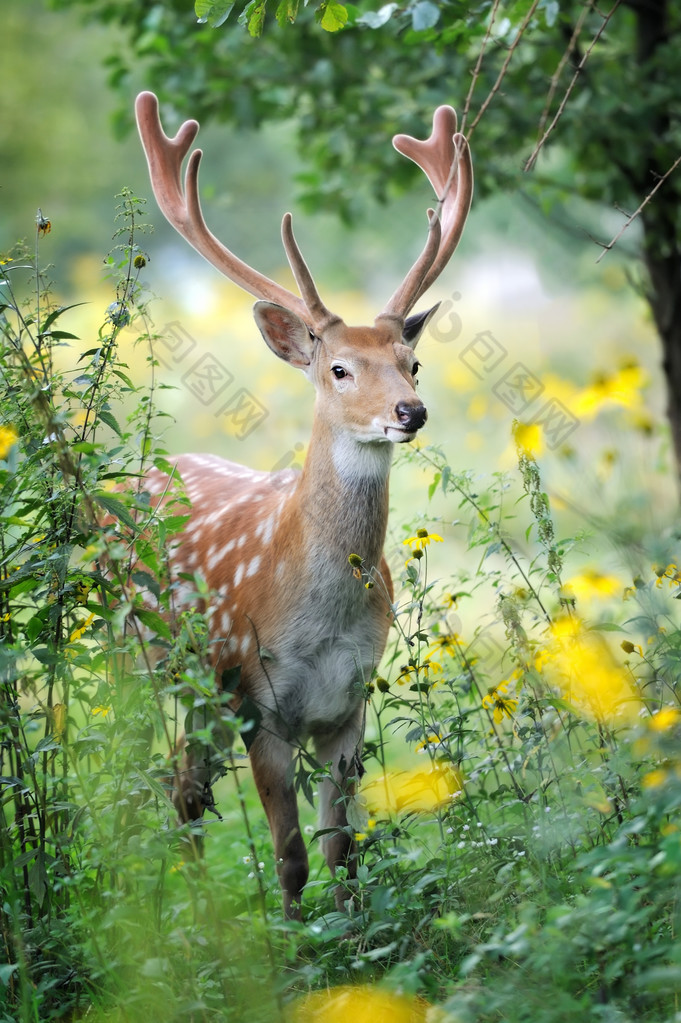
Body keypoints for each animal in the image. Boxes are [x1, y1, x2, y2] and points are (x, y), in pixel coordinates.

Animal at [134, 91, 473, 919]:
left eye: (412, 361)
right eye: (339, 368)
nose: (410, 411)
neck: (317, 619)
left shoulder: (348, 705)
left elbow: (342, 851)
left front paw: (352, 938)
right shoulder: (259, 701)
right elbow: (289, 856)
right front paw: (289, 943)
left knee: (186, 789)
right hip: (148, 659)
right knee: (163, 778)